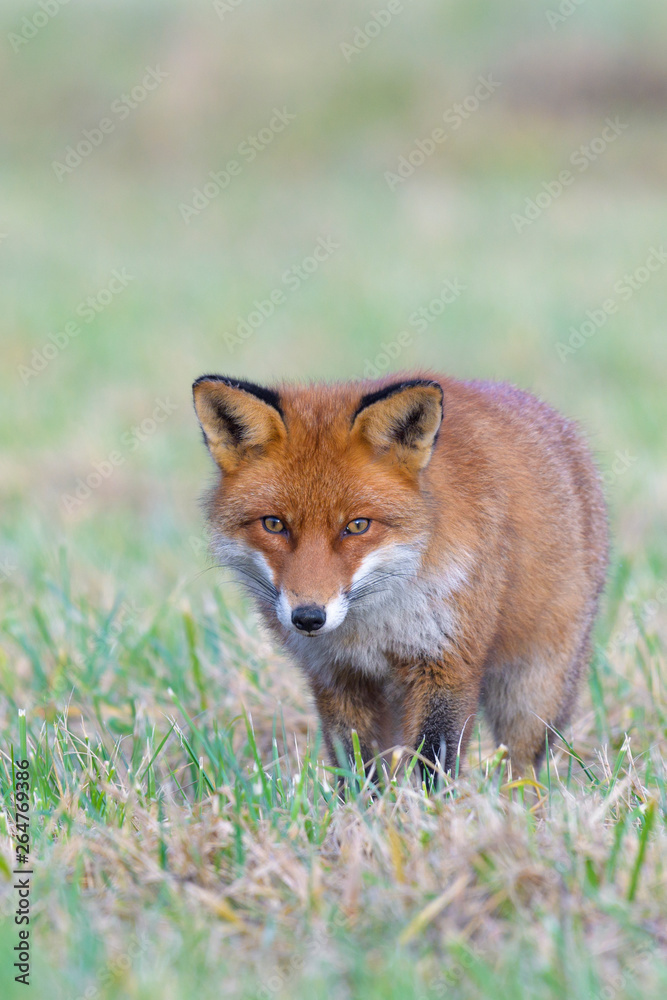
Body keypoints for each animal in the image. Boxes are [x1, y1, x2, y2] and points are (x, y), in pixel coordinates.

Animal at [192, 373, 608, 779]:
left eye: (357, 525)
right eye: (274, 524)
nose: (308, 617)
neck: (373, 628)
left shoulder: (447, 664)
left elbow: (432, 765)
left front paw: (424, 803)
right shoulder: (337, 676)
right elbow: (358, 768)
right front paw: (362, 803)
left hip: (533, 691)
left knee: (522, 765)